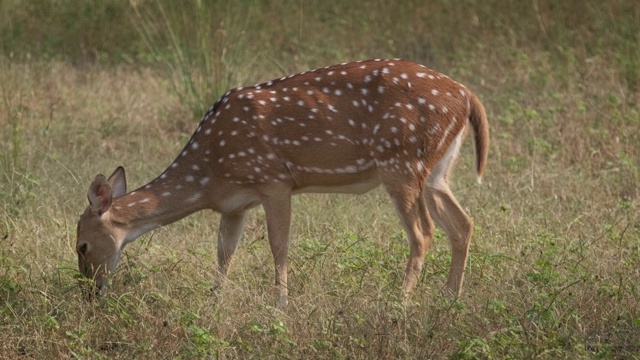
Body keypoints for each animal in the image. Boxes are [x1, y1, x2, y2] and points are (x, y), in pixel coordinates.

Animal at [77, 59, 492, 306]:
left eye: (82, 246)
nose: (89, 293)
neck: (209, 171)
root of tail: (468, 96)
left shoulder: (274, 179)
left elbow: (279, 245)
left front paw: (280, 305)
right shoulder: (234, 204)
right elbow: (224, 251)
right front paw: (213, 301)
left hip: (400, 161)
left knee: (423, 231)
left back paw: (400, 302)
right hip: (436, 171)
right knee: (463, 224)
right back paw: (450, 300)